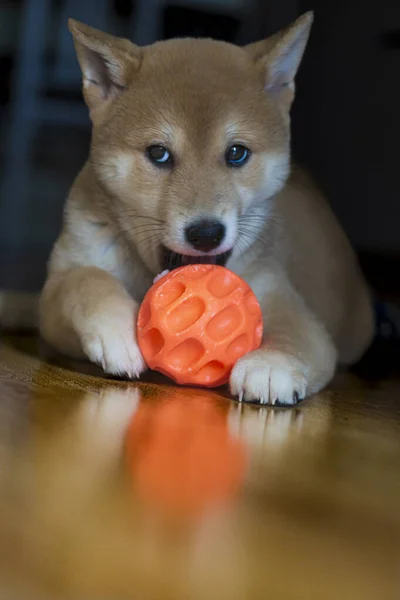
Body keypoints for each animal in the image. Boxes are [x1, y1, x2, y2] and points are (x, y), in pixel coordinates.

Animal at [35, 14, 376, 406]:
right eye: (158, 153)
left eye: (236, 153)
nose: (206, 234)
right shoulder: (57, 291)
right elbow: (83, 280)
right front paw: (115, 326)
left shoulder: (286, 303)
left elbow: (295, 337)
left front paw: (270, 364)